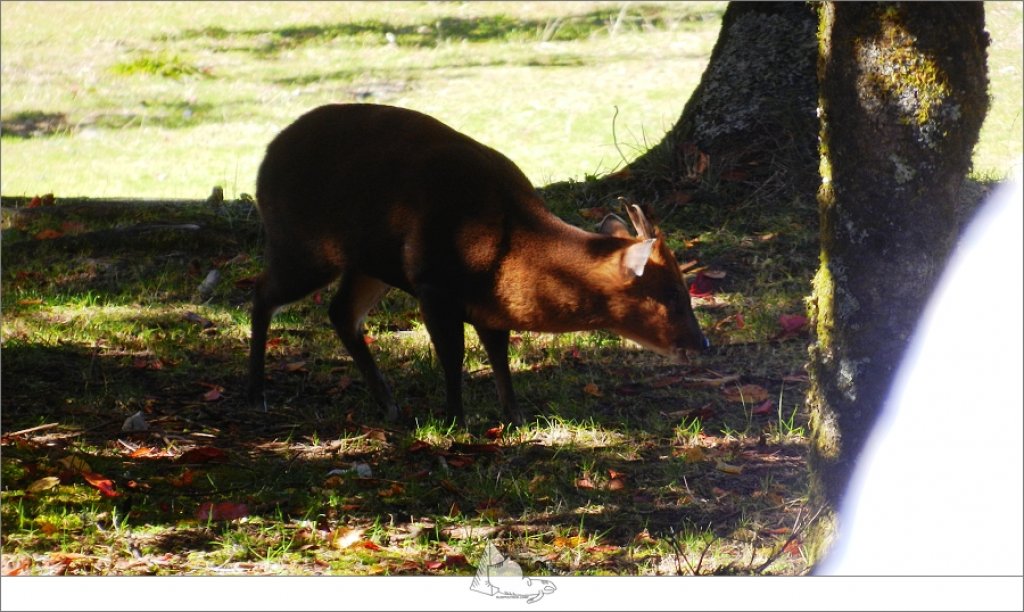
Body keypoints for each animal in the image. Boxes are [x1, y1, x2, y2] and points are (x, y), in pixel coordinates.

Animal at [248, 104, 712, 427]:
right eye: (672, 295)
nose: (701, 343)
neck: (507, 247)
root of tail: (267, 153)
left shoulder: (492, 306)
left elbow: (499, 357)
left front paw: (515, 416)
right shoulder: (433, 283)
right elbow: (453, 356)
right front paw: (455, 419)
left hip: (366, 263)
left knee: (339, 312)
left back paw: (388, 404)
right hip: (303, 243)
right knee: (262, 292)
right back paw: (257, 392)